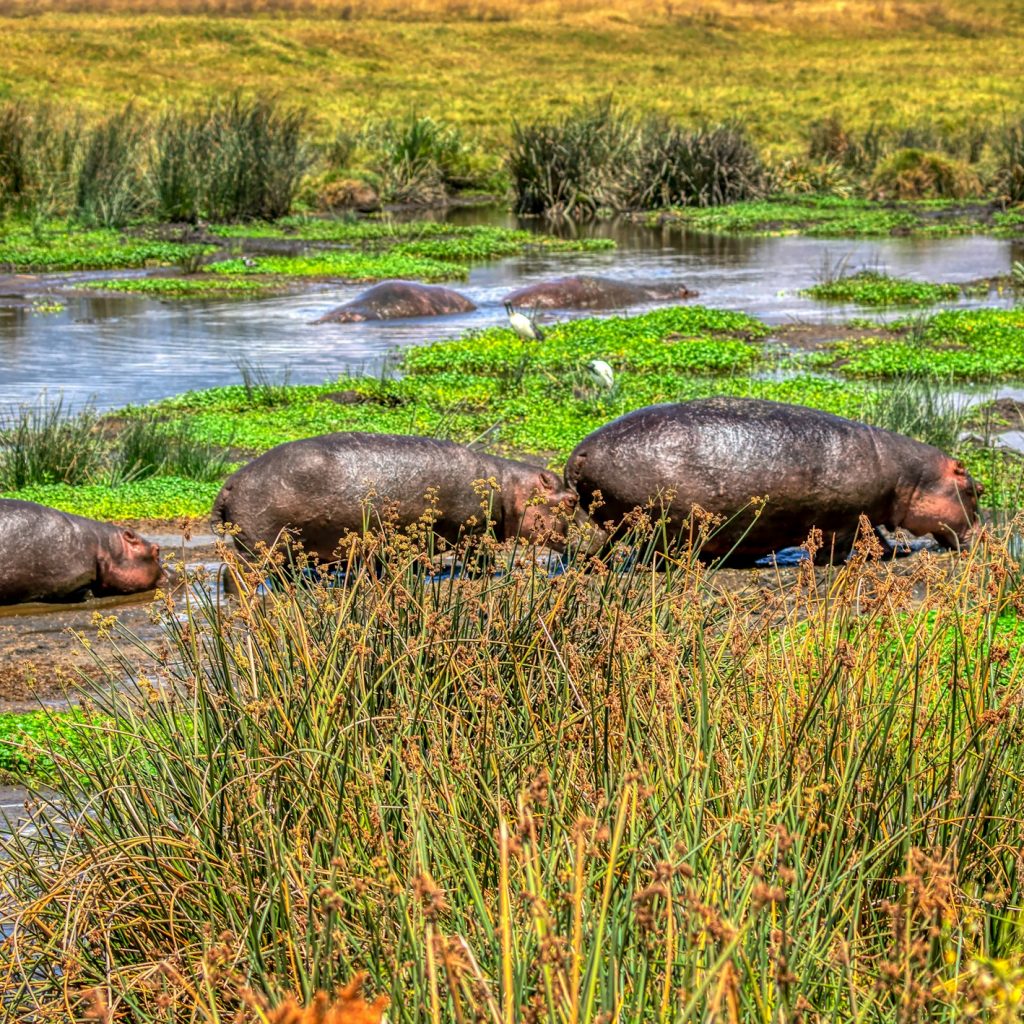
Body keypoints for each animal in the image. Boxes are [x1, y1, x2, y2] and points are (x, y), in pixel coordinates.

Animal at [212, 432, 578, 560]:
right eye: (571, 501)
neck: (507, 485)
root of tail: (230, 482)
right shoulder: (473, 530)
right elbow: (479, 559)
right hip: (259, 546)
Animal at [565, 398, 981, 565]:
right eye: (976, 490)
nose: (982, 537)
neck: (909, 475)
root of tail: (578, 452)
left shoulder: (862, 517)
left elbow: (876, 538)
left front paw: (895, 552)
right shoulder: (846, 519)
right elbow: (851, 544)